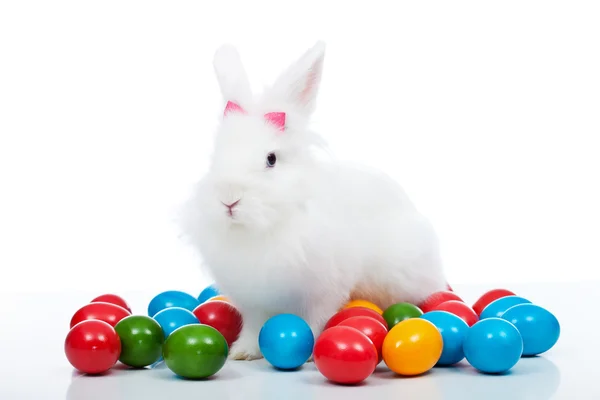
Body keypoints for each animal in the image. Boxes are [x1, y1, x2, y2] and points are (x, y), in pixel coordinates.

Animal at [180, 42, 448, 360]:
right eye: (215, 159)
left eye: (271, 159)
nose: (229, 199)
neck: (264, 228)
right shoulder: (253, 298)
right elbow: (254, 326)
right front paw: (243, 352)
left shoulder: (323, 291)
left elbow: (314, 320)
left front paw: (308, 352)